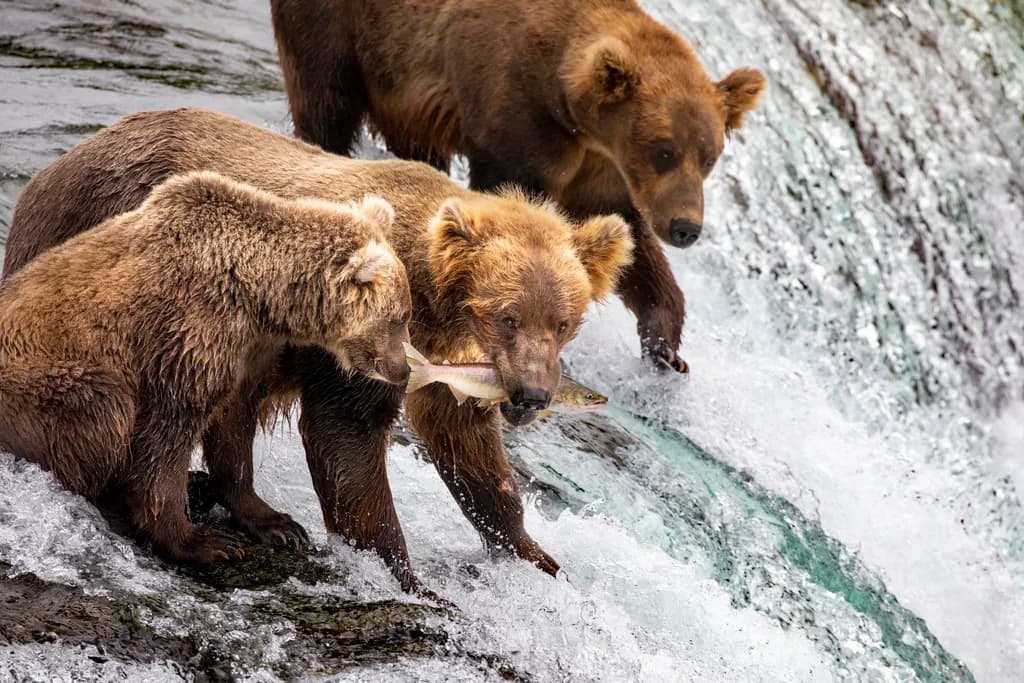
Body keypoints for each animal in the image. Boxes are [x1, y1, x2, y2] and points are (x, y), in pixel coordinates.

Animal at [0, 170, 411, 566]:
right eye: (399, 319)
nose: (404, 371)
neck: (258, 293)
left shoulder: (247, 351)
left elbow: (232, 427)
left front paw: (277, 524)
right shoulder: (188, 330)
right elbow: (167, 435)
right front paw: (205, 543)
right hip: (44, 384)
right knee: (102, 407)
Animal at [269, 0, 767, 372]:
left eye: (709, 156)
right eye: (663, 151)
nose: (686, 227)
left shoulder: (602, 171)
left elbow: (630, 246)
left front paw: (666, 349)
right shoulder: (521, 118)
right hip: (343, 29)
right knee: (326, 98)